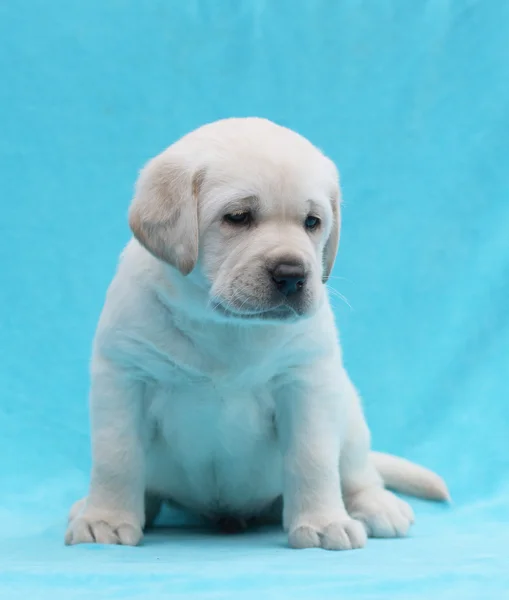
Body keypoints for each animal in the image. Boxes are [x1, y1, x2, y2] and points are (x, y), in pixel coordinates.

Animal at [64, 116, 448, 548]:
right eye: (238, 217)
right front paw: (106, 519)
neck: (223, 324)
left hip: (348, 411)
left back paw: (377, 506)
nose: (292, 275)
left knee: (358, 471)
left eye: (312, 223)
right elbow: (117, 456)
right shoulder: (124, 378)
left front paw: (323, 523)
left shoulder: (305, 382)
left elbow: (313, 459)